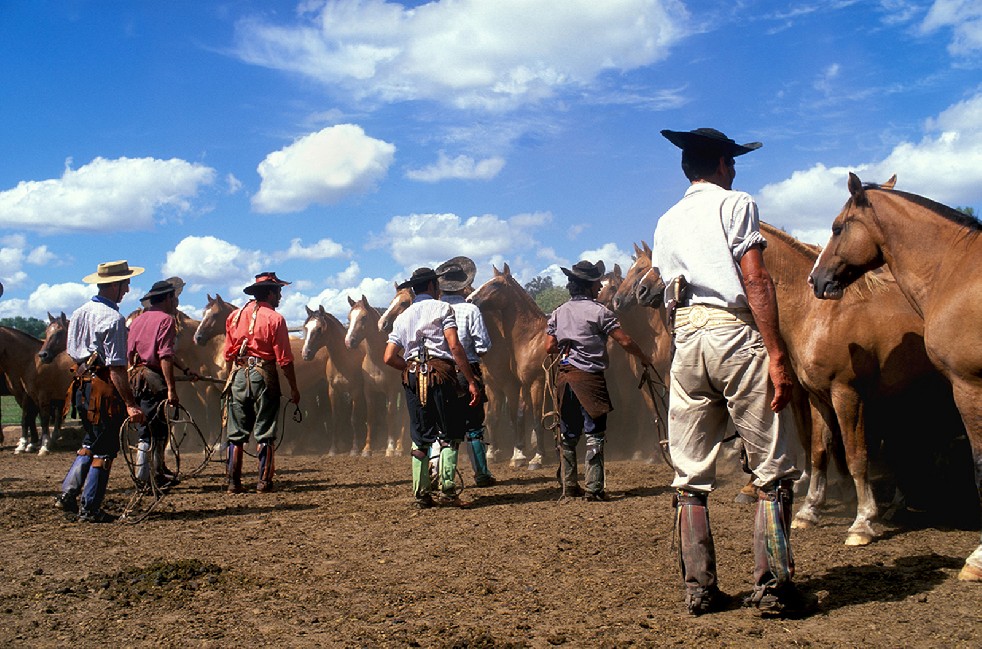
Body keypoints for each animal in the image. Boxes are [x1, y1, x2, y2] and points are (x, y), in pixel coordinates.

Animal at [346, 294, 408, 456]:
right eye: (349, 317)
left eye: (364, 317)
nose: (349, 342)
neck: (378, 361)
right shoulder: (369, 391)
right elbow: (370, 417)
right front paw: (367, 449)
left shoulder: (392, 391)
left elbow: (390, 415)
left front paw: (390, 448)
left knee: (404, 415)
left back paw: (399, 447)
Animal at [468, 260, 548, 468]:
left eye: (496, 284)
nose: (470, 299)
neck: (532, 339)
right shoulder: (520, 384)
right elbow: (516, 417)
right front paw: (514, 455)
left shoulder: (535, 382)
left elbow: (536, 419)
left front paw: (536, 457)